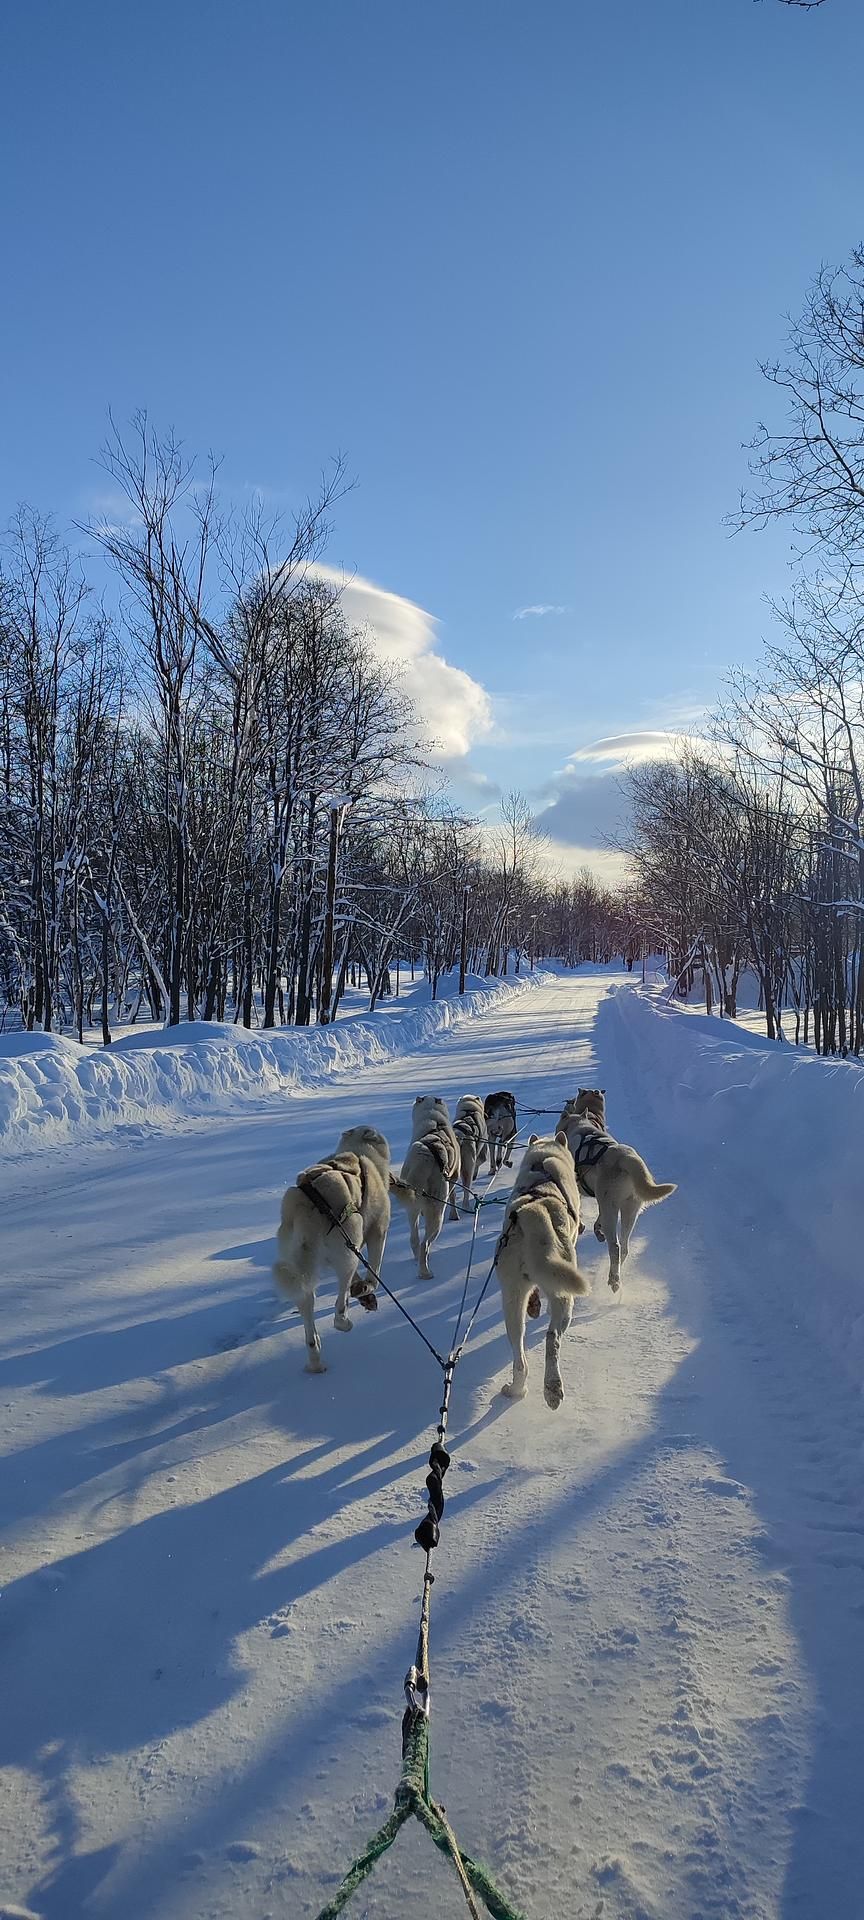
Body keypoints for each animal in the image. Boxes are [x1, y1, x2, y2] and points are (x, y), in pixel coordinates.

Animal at [272, 1121, 391, 1382]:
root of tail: (306, 1206)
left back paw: (315, 1359)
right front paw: (367, 1288)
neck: (358, 1152)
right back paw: (344, 1321)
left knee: (308, 1311)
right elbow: (373, 1273)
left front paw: (362, 1292)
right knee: (339, 1305)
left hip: (301, 1269)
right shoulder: (377, 1232)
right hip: (349, 1242)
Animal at [389, 1098, 462, 1274]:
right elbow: (453, 1194)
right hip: (437, 1211)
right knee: (425, 1244)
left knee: (414, 1238)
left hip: (411, 1208)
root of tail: (425, 1158)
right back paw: (425, 1272)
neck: (434, 1120)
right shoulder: (454, 1176)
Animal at [495, 1121, 591, 1413]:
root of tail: (533, 1213)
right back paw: (553, 1389)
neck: (543, 1166)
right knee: (552, 1337)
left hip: (512, 1300)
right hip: (564, 1297)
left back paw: (516, 1390)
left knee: (520, 1357)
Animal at [556, 1105, 679, 1297]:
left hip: (612, 1209)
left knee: (615, 1247)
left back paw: (614, 1280)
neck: (579, 1126)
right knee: (624, 1247)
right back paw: (614, 1273)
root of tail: (625, 1158)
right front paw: (595, 1228)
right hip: (628, 1210)